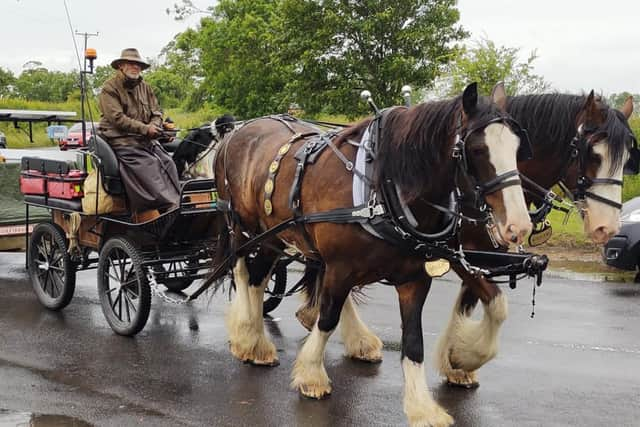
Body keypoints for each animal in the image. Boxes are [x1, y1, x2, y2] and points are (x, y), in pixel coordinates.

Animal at [212, 82, 532, 426]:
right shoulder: (341, 266)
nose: (519, 225)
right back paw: (249, 337)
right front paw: (312, 375)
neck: (384, 188)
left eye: (518, 148)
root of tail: (238, 131)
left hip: (276, 237)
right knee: (245, 271)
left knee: (259, 277)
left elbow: (414, 341)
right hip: (246, 229)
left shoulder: (416, 277)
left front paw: (424, 405)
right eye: (477, 150)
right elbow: (328, 317)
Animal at [310, 93, 636, 394]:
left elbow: (478, 304)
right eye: (592, 154)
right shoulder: (457, 255)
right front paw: (464, 357)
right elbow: (497, 304)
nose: (607, 226)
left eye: (627, 159)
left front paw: (457, 360)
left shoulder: (482, 256)